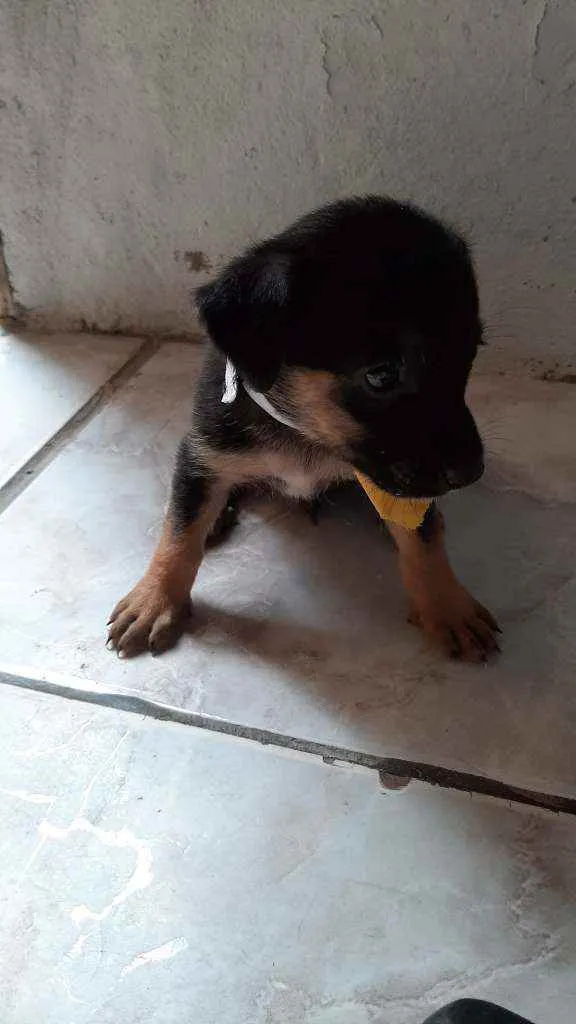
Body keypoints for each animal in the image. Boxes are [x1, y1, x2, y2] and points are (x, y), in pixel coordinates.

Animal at [107, 197, 498, 663]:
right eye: (381, 375)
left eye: (470, 354)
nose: (472, 472)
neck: (303, 430)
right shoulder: (203, 451)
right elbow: (180, 532)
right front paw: (154, 600)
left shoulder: (400, 482)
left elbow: (424, 539)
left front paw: (448, 606)